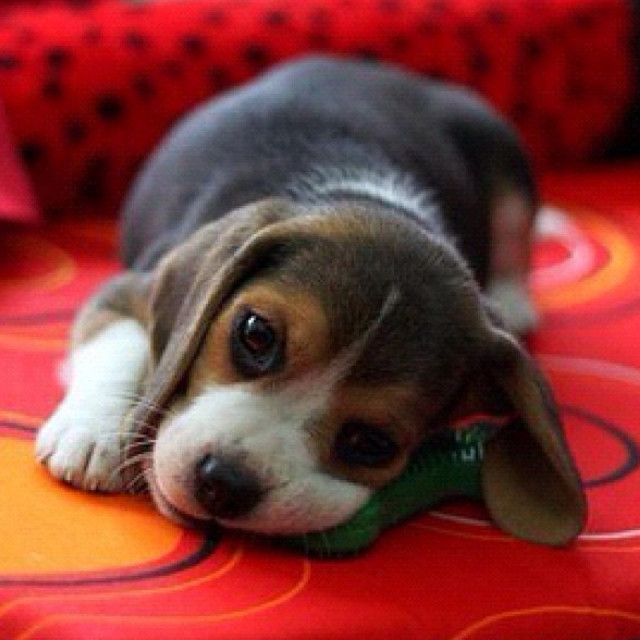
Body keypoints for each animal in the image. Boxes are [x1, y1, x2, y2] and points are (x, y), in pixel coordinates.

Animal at [33, 56, 584, 544]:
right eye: (256, 335)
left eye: (370, 443)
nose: (223, 484)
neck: (364, 197)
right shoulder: (126, 290)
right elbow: (121, 347)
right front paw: (93, 432)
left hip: (503, 151)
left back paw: (510, 299)